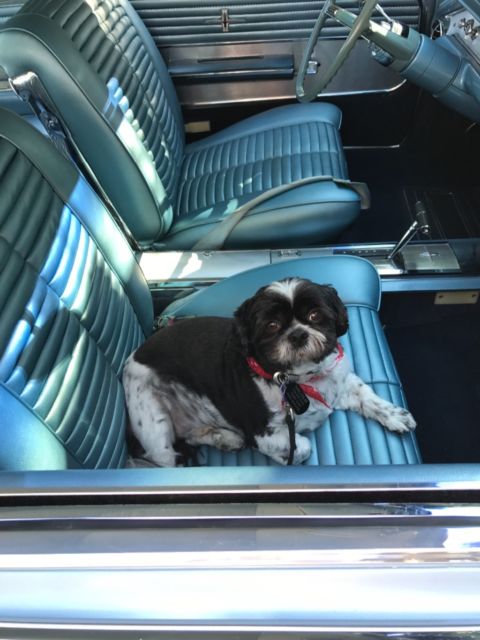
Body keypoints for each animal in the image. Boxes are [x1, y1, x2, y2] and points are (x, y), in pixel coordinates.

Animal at [122, 278, 416, 466]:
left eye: (314, 316)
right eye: (272, 325)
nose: (297, 335)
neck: (298, 380)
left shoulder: (340, 380)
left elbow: (367, 396)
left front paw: (394, 414)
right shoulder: (264, 433)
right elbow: (302, 446)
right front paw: (283, 457)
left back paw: (223, 437)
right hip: (151, 419)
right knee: (162, 456)